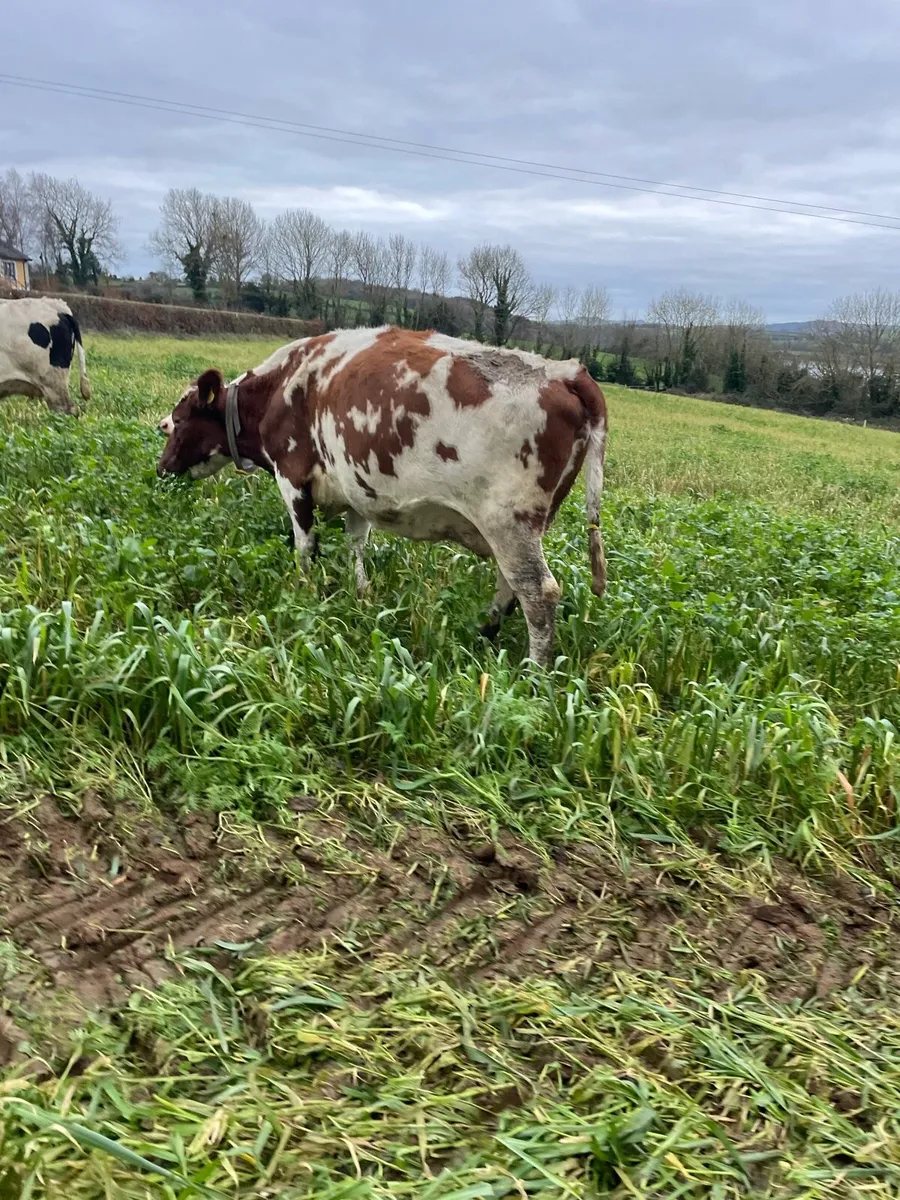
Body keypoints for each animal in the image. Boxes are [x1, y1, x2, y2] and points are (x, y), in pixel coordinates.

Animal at [157, 326, 607, 665]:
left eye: (177, 421)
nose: (161, 469)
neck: (279, 389)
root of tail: (566, 370)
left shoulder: (292, 475)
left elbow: (305, 545)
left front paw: (304, 592)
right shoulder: (356, 490)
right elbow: (355, 545)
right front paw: (360, 595)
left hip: (507, 519)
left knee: (537, 592)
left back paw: (534, 673)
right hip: (522, 526)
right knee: (509, 584)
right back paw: (484, 633)